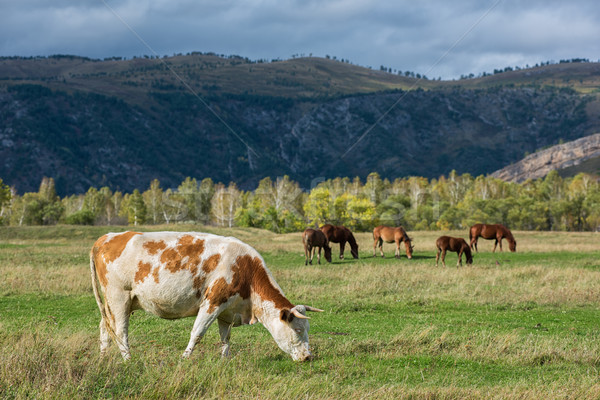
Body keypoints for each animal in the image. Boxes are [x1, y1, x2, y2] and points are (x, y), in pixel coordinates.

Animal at [90, 230, 324, 360]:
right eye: (298, 330)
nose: (308, 357)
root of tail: (107, 237)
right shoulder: (212, 302)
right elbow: (197, 333)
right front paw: (184, 358)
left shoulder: (227, 311)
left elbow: (225, 338)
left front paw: (225, 360)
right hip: (119, 297)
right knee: (120, 331)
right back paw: (128, 359)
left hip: (114, 303)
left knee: (104, 327)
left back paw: (103, 358)